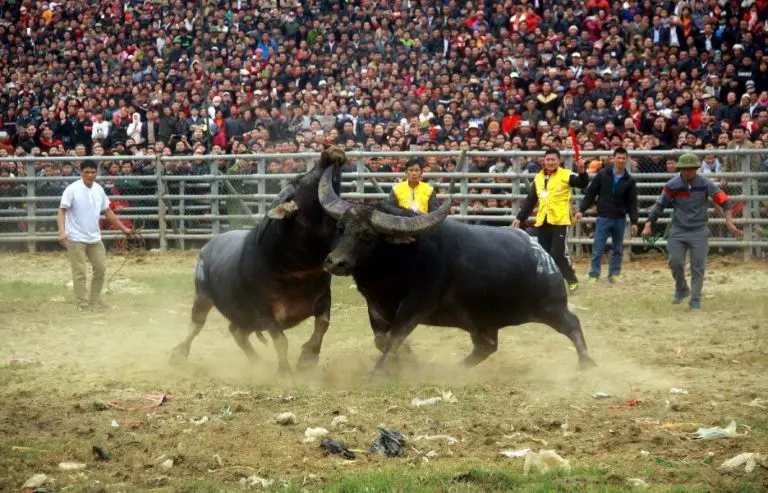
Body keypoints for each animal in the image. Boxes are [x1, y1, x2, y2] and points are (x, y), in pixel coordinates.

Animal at [171, 146, 348, 372]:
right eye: (300, 179)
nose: (330, 151)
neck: (295, 269)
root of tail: (206, 248)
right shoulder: (265, 312)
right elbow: (281, 340)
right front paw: (284, 370)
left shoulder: (324, 297)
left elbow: (323, 325)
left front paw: (307, 357)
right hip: (202, 297)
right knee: (196, 325)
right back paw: (178, 353)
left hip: (244, 318)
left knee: (236, 331)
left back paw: (256, 361)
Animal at [316, 167, 596, 374]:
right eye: (341, 228)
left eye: (368, 235)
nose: (335, 262)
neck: (396, 265)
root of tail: (544, 256)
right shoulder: (375, 305)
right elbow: (382, 339)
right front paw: (407, 360)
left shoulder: (417, 303)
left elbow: (394, 336)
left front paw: (381, 370)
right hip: (482, 321)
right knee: (486, 347)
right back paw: (456, 369)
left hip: (551, 308)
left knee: (573, 324)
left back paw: (586, 362)